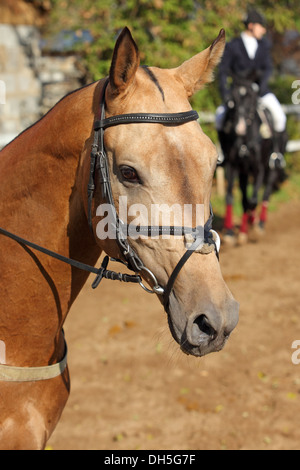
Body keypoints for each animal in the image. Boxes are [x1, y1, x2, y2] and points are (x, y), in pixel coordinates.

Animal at [219, 72, 288, 246]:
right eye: (233, 99)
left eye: (251, 97)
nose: (240, 127)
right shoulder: (233, 166)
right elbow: (232, 197)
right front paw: (230, 232)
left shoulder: (259, 168)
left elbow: (253, 200)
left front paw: (252, 225)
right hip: (244, 171)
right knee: (246, 198)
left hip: (272, 168)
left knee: (266, 193)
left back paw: (260, 223)